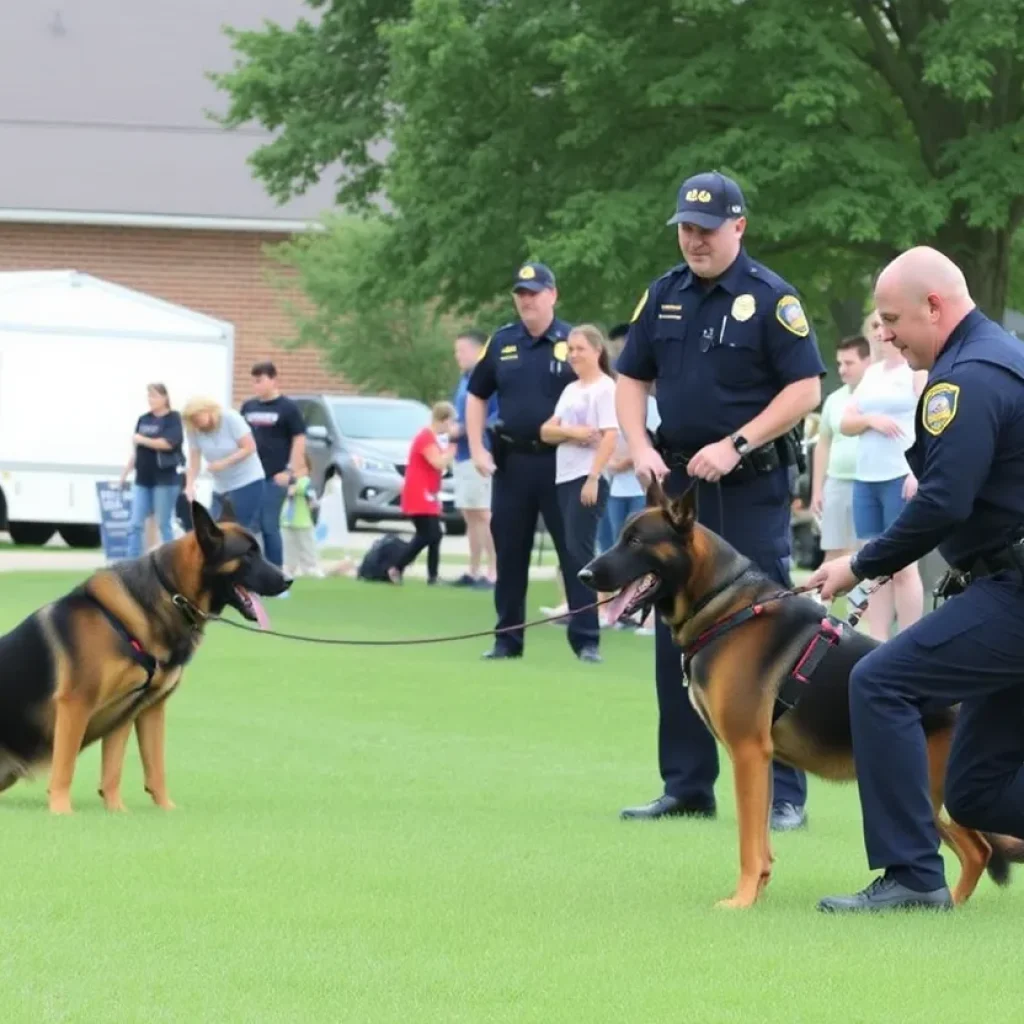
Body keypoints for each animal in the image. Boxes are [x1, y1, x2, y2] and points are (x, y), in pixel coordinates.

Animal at [0, 499, 292, 811]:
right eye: (248, 554)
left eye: (259, 550)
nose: (289, 580)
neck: (171, 592)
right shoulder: (75, 704)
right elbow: (64, 768)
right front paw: (62, 811)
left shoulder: (139, 710)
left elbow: (136, 769)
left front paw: (131, 811)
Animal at [577, 481, 1024, 913]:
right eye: (621, 537)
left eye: (636, 541)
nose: (583, 574)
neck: (725, 607)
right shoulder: (760, 761)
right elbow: (761, 843)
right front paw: (756, 893)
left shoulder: (748, 754)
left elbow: (748, 842)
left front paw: (741, 900)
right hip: (939, 797)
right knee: (977, 850)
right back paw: (948, 903)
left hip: (935, 791)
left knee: (978, 847)